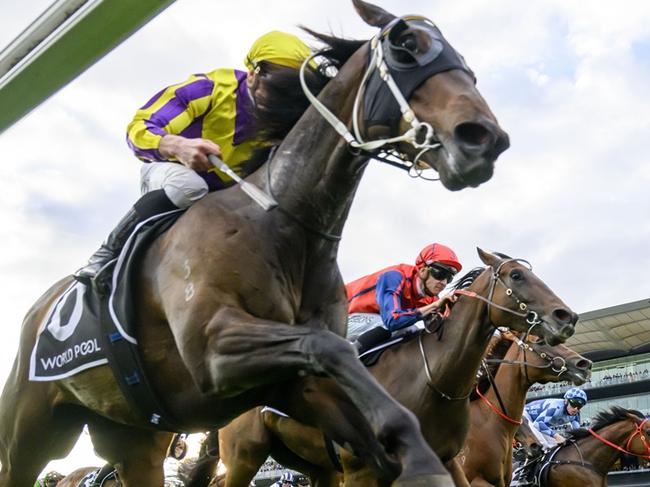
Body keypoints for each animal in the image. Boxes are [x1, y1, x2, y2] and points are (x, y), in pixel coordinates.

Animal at [0, 1, 512, 486]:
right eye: (406, 46)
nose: (486, 139)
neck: (285, 227)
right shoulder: (214, 352)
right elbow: (332, 346)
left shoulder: (295, 388)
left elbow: (380, 419)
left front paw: (414, 458)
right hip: (30, 430)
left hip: (132, 437)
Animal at [215, 252, 576, 487]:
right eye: (516, 275)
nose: (567, 317)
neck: (431, 382)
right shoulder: (361, 470)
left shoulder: (447, 461)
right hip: (244, 456)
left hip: (314, 464)